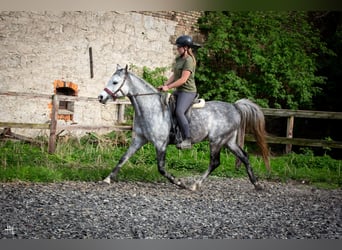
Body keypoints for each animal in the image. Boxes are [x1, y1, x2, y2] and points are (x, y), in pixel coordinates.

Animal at [98, 65, 270, 190]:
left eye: (115, 82)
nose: (101, 97)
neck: (151, 108)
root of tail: (235, 107)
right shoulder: (138, 140)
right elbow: (123, 158)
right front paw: (107, 179)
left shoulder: (160, 144)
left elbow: (161, 168)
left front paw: (180, 183)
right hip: (229, 141)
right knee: (244, 157)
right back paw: (257, 184)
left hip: (217, 141)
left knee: (214, 162)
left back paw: (195, 185)